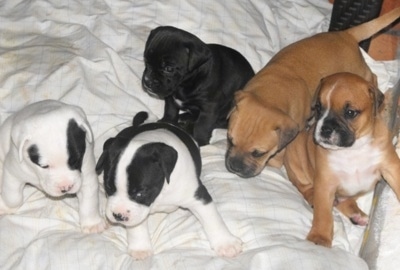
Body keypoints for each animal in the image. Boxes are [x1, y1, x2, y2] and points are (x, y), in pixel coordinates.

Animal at [0, 100, 106, 233]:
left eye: (76, 160)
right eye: (44, 166)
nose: (66, 187)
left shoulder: (86, 175)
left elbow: (89, 201)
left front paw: (92, 224)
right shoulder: (13, 171)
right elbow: (12, 196)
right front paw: (6, 206)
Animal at [95, 111, 242, 260]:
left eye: (140, 193)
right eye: (109, 188)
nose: (118, 216)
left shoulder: (198, 196)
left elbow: (212, 218)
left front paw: (226, 243)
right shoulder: (138, 212)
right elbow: (136, 226)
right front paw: (140, 248)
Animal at [225, 7, 400, 178]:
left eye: (258, 153)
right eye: (230, 140)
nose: (234, 167)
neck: (269, 96)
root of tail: (347, 34)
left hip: (359, 71)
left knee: (373, 77)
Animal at [282, 73, 400, 248]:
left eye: (350, 112)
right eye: (318, 108)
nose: (325, 129)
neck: (353, 149)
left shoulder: (391, 168)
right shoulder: (325, 183)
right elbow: (323, 214)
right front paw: (320, 237)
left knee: (344, 201)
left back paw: (357, 215)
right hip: (295, 160)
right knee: (305, 188)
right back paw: (313, 198)